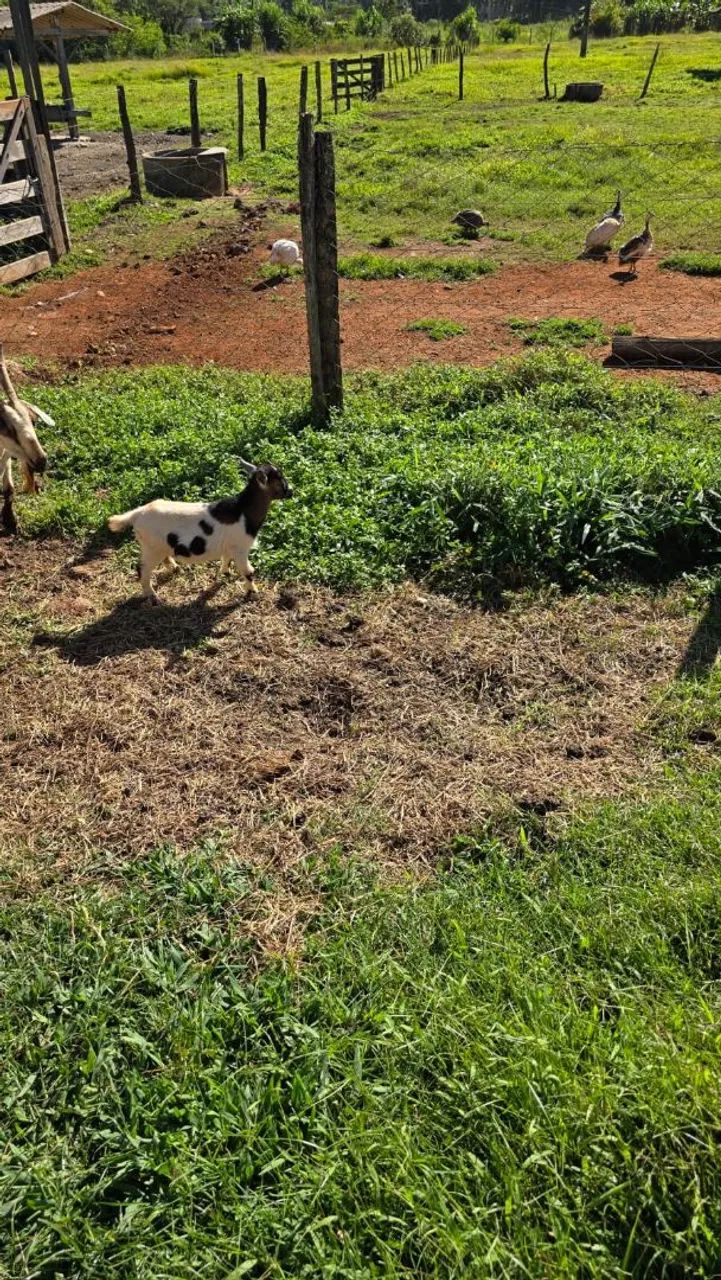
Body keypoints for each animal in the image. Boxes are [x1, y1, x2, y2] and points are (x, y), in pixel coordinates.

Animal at [107, 459, 293, 603]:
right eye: (280, 479)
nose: (291, 491)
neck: (243, 511)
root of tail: (138, 513)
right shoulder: (241, 548)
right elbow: (248, 571)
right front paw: (253, 592)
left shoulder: (229, 546)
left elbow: (226, 559)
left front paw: (225, 573)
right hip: (151, 548)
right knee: (143, 569)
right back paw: (153, 597)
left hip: (159, 545)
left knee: (164, 558)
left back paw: (176, 569)